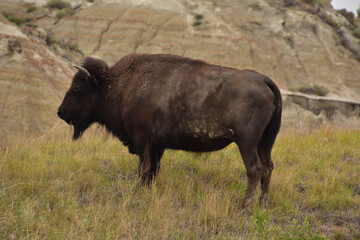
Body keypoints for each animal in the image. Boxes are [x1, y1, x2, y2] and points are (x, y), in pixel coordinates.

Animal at [57, 53, 282, 207]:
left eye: (77, 88)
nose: (60, 111)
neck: (118, 85)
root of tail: (265, 81)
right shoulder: (157, 146)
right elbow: (153, 170)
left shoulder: (143, 140)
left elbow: (144, 169)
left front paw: (138, 192)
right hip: (265, 142)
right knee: (268, 167)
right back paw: (262, 204)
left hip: (246, 143)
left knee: (254, 169)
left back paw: (244, 207)